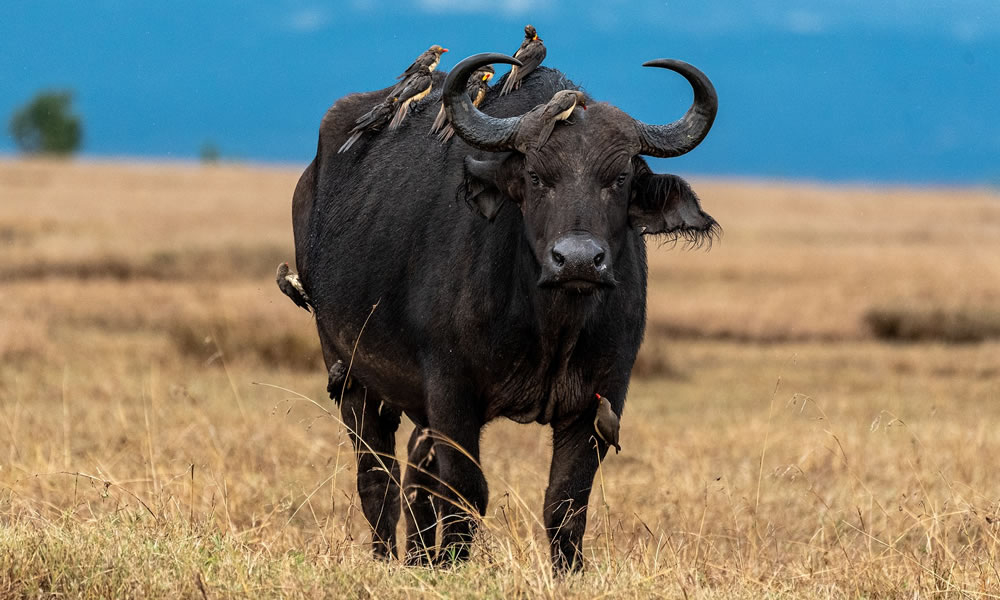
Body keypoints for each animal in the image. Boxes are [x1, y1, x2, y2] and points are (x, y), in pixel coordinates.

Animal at [290, 52, 720, 572]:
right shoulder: (451, 390)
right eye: (535, 176)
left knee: (415, 471)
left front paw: (567, 570)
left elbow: (565, 501)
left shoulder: (601, 398)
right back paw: (389, 558)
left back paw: (418, 558)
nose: (578, 260)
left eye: (619, 179)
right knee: (378, 475)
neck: (551, 326)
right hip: (350, 372)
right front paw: (453, 563)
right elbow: (465, 491)